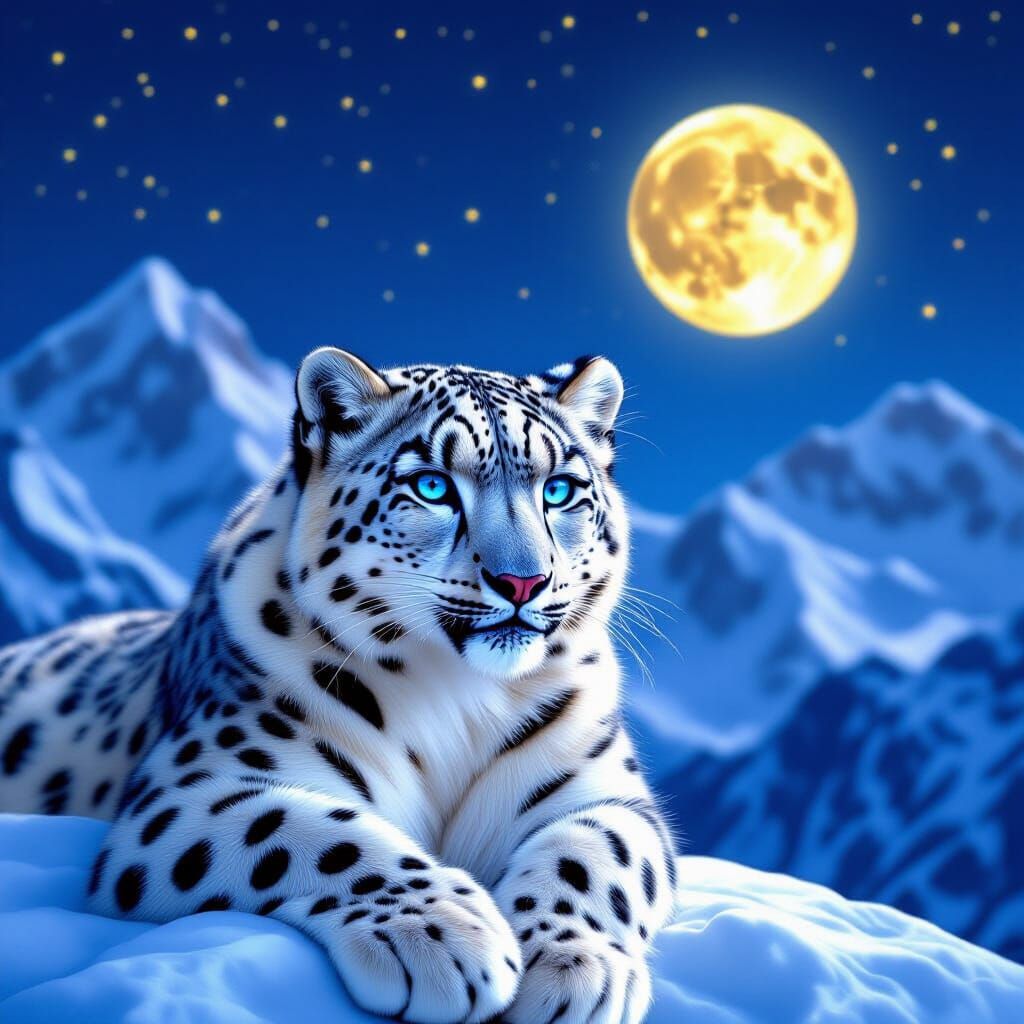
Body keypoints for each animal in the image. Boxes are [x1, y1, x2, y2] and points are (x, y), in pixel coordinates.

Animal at [0, 347, 677, 1023]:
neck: (462, 698)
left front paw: (574, 968)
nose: (523, 581)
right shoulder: (190, 790)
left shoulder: (607, 793)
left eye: (559, 490)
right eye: (432, 486)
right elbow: (310, 829)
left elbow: (593, 855)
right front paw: (448, 935)